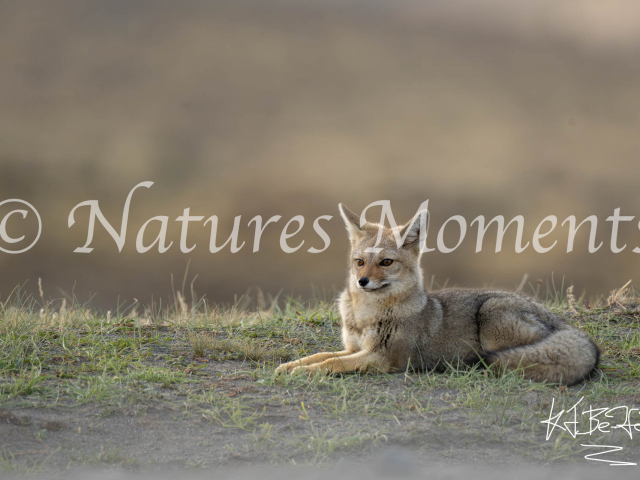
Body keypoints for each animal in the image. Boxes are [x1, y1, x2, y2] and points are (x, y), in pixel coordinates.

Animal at [278, 204, 604, 384]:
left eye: (386, 262)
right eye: (359, 262)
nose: (362, 282)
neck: (363, 314)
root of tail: (566, 325)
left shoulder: (380, 357)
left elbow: (331, 363)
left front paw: (304, 373)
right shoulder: (353, 348)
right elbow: (320, 355)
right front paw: (291, 366)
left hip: (492, 318)